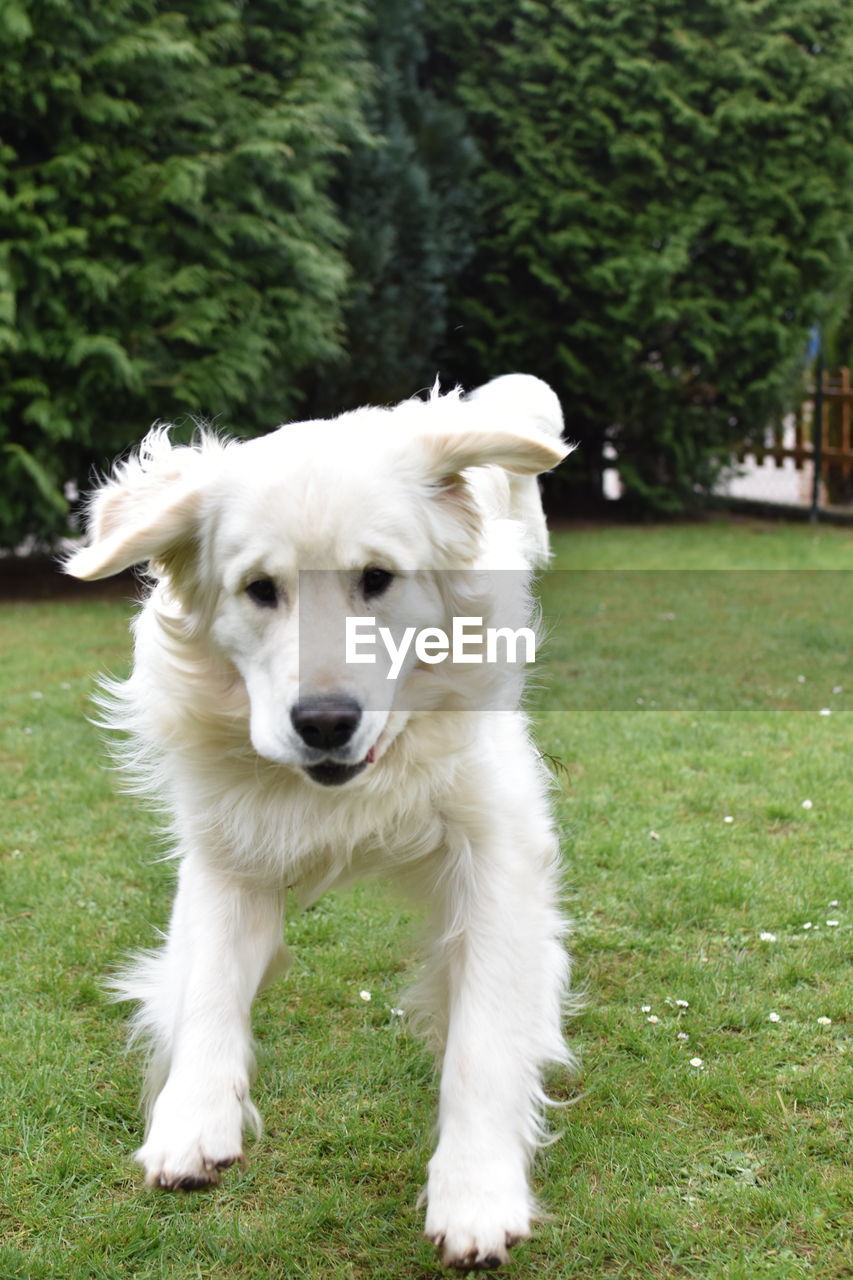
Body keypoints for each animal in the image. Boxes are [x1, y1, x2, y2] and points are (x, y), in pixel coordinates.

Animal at [64, 373, 571, 1269]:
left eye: (377, 577)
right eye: (260, 590)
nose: (325, 722)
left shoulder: (497, 848)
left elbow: (482, 1036)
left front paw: (476, 1191)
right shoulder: (226, 851)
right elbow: (207, 986)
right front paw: (193, 1117)